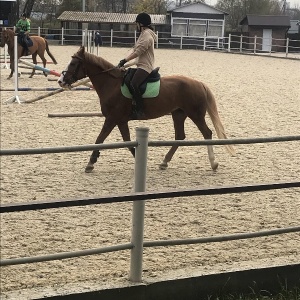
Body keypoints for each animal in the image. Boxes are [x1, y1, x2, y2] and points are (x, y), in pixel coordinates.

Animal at [58, 47, 236, 173]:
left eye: (73, 64)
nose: (61, 81)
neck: (112, 84)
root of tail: (199, 83)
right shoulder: (120, 120)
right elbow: (127, 142)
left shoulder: (112, 119)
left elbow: (100, 139)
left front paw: (90, 164)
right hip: (178, 114)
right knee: (180, 136)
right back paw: (164, 162)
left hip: (196, 115)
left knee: (207, 133)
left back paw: (213, 163)